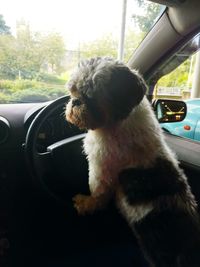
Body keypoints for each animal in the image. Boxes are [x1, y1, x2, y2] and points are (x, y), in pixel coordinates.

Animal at [65, 57, 200, 266]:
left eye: (90, 94)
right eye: (73, 91)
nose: (75, 101)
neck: (117, 121)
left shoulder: (100, 167)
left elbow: (97, 192)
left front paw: (86, 203)